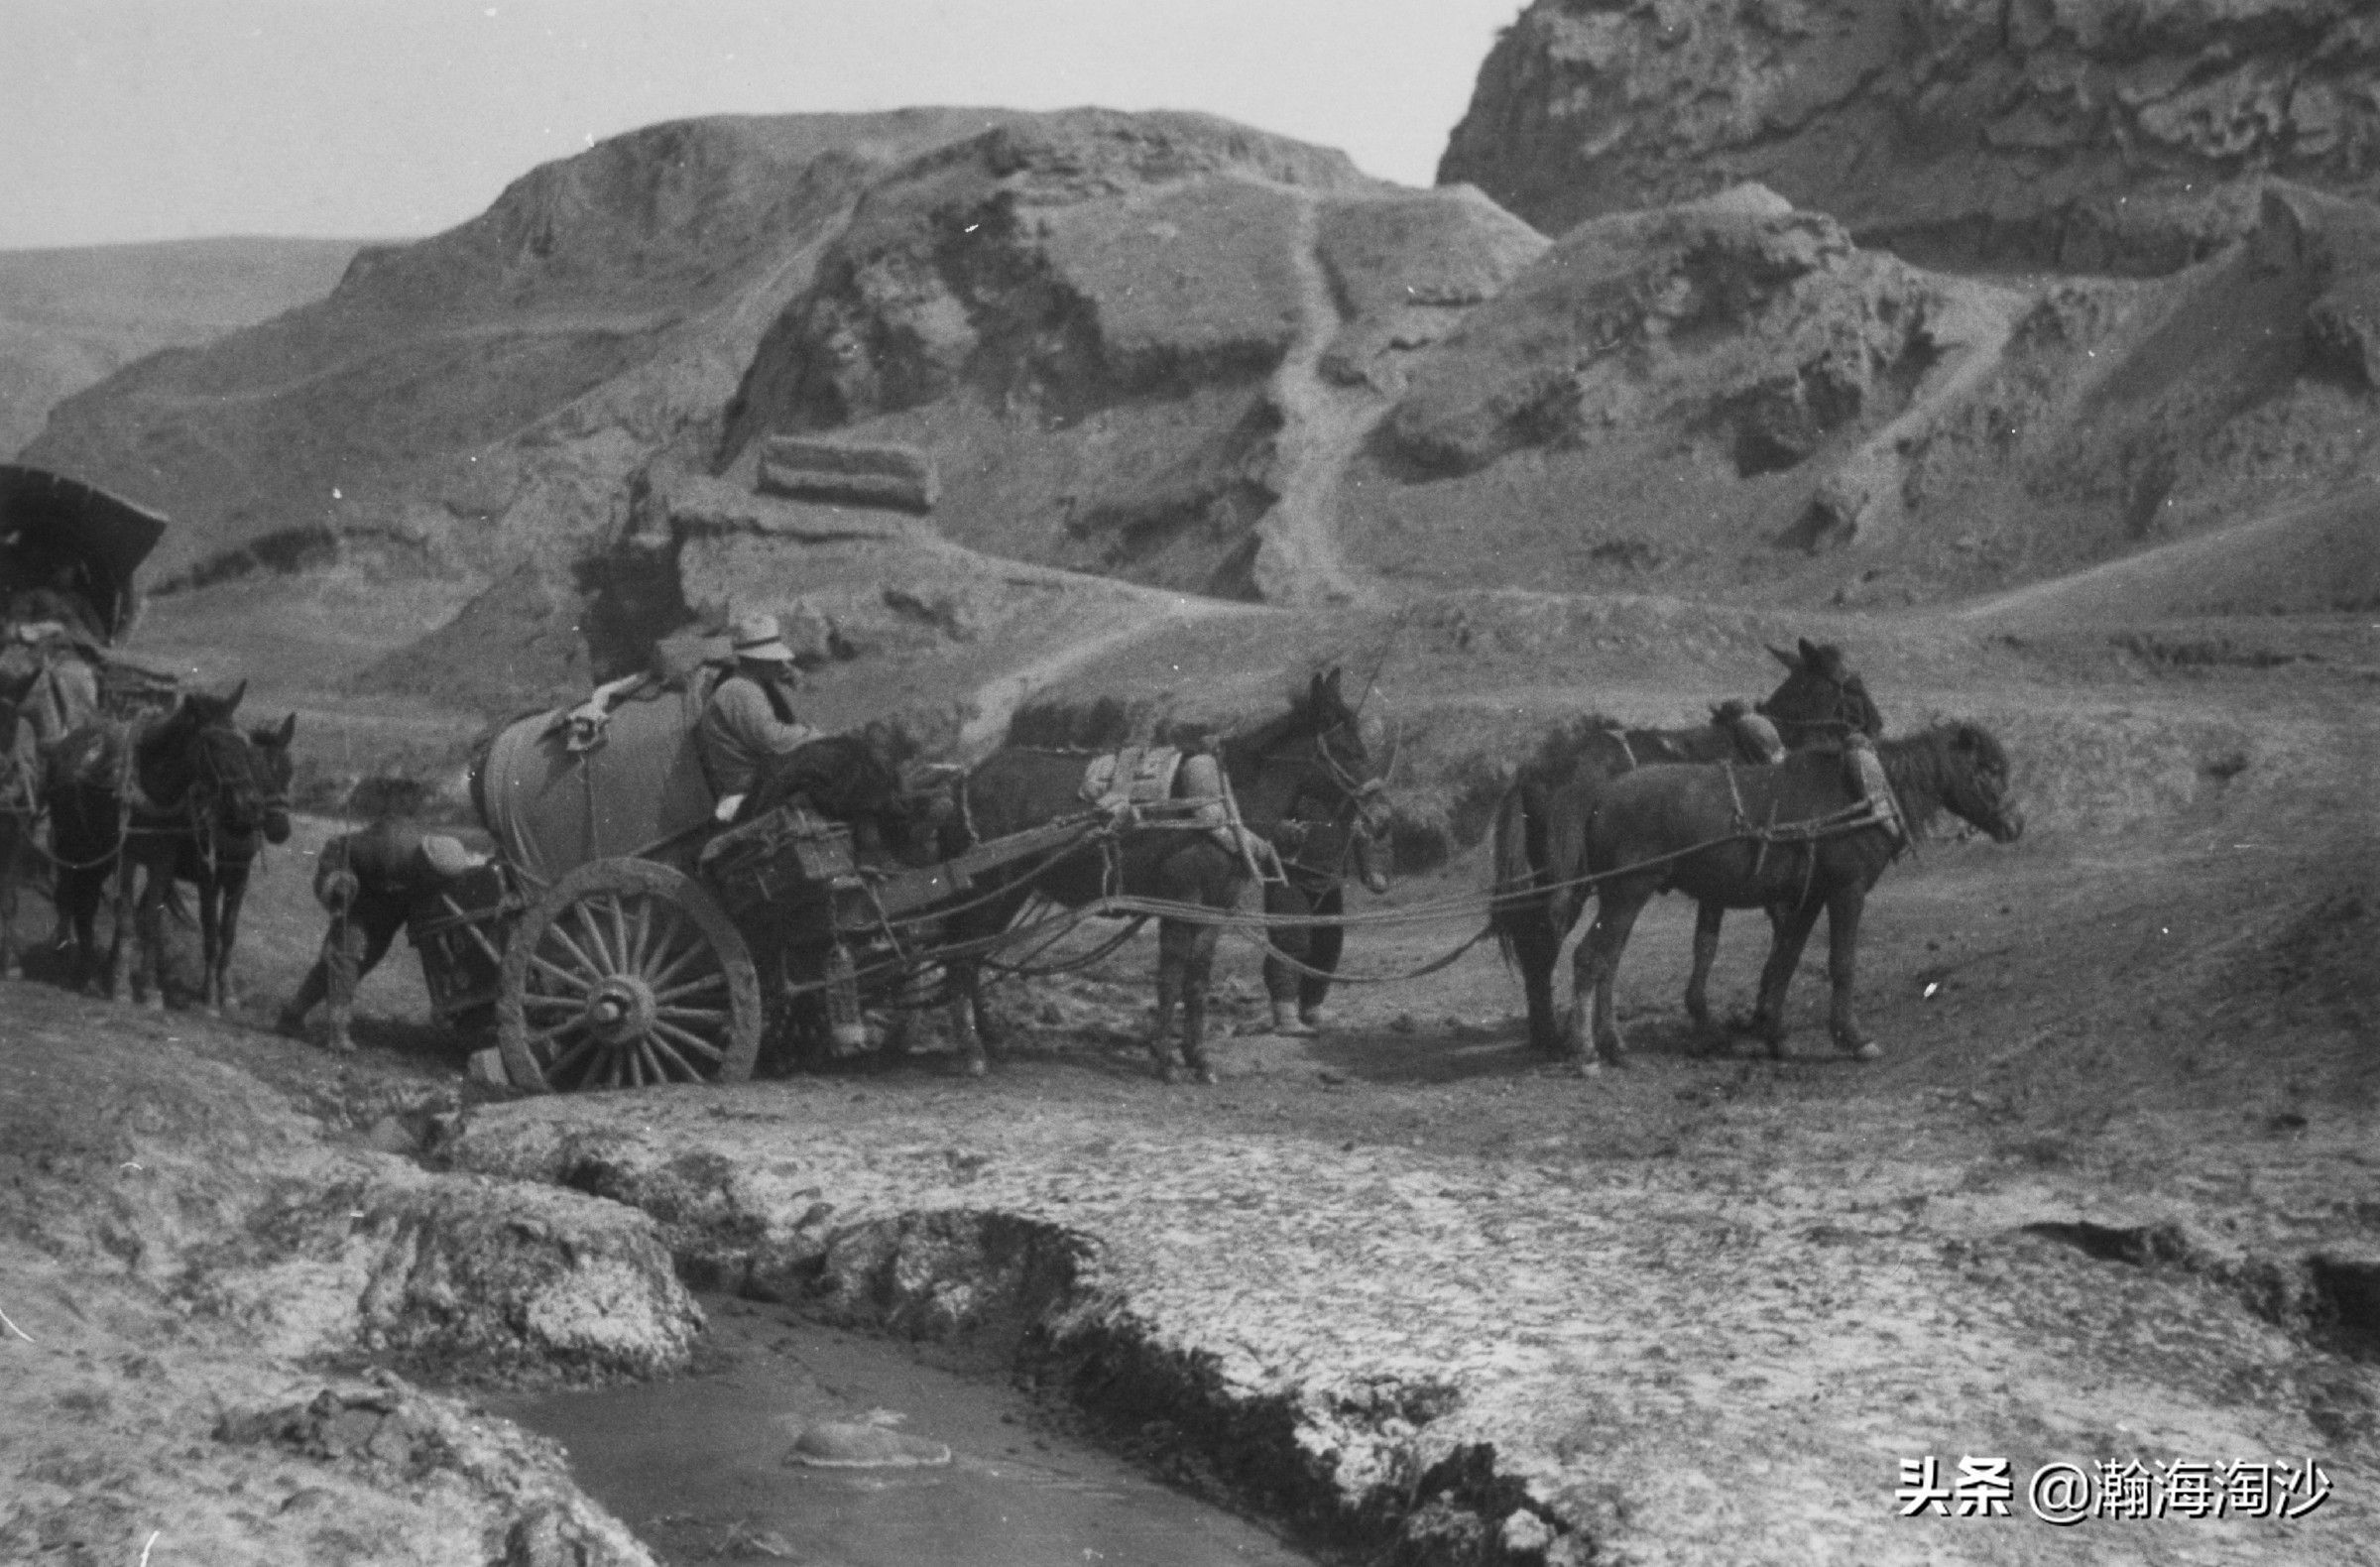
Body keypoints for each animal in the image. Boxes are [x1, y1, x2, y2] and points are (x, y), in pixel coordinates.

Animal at [947, 666, 1389, 1081]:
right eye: (1348, 750)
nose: (1383, 816)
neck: (1221, 802)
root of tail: (972, 778)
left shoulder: (1215, 907)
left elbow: (1197, 981)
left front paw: (1199, 1058)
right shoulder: (1181, 900)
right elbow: (1171, 978)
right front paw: (1166, 1060)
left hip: (1009, 893)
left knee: (975, 953)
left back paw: (990, 1039)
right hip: (991, 887)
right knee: (962, 958)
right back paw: (972, 1051)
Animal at [1485, 633, 1875, 1047]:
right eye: (1852, 683)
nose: (1876, 724)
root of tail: (1532, 770)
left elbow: (1722, 939)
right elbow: (1743, 938)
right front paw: (1743, 1012)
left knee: (1552, 942)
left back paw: (1562, 1033)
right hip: (1575, 884)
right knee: (1549, 940)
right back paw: (1562, 1035)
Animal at [1561, 719, 2027, 1061]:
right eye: (1988, 769)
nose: (2015, 824)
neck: (1865, 795)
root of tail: (1600, 800)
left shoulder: (1810, 895)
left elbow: (1785, 960)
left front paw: (1776, 1037)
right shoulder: (1847, 890)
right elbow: (1842, 963)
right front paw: (1853, 1037)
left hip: (1623, 897)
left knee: (1609, 961)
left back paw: (1614, 1045)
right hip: (1626, 893)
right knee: (1590, 958)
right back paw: (1586, 1053)